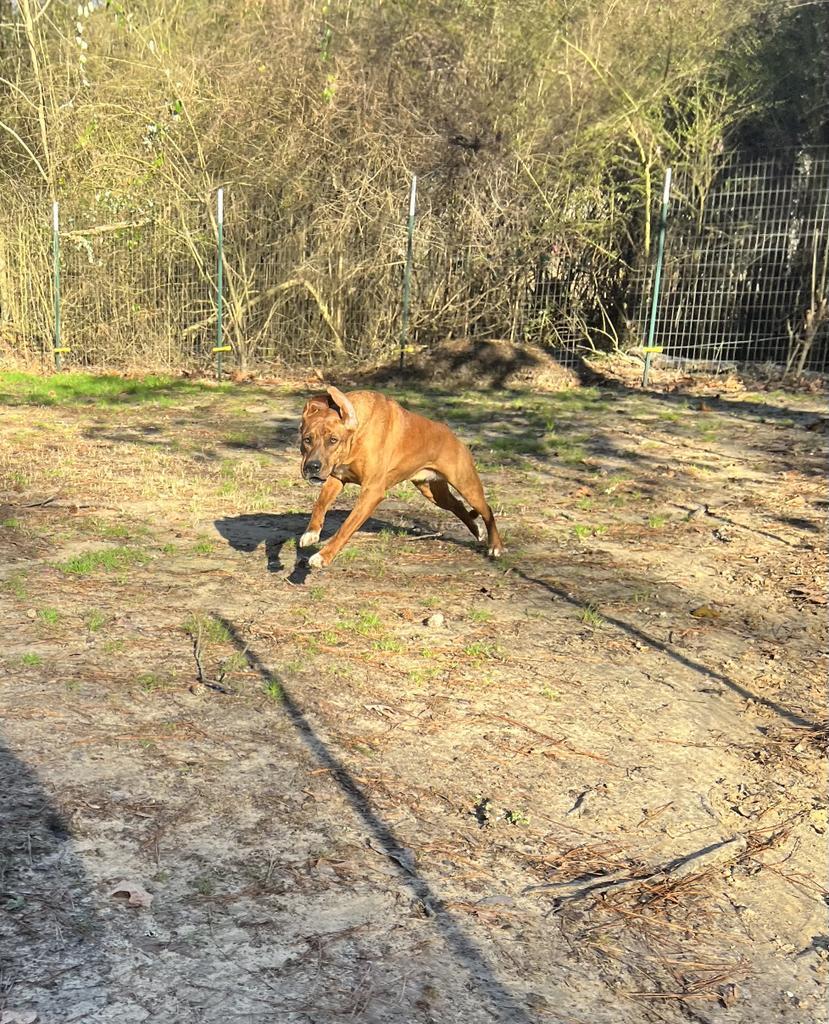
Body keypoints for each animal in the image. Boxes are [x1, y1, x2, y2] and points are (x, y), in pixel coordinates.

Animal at [298, 385, 501, 569]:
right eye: (307, 439)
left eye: (333, 440)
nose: (312, 467)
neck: (358, 434)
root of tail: (453, 435)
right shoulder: (337, 477)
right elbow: (320, 503)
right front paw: (311, 533)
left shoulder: (372, 492)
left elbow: (345, 528)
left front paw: (323, 556)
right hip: (433, 492)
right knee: (457, 505)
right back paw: (477, 530)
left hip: (467, 485)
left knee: (487, 510)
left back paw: (495, 546)